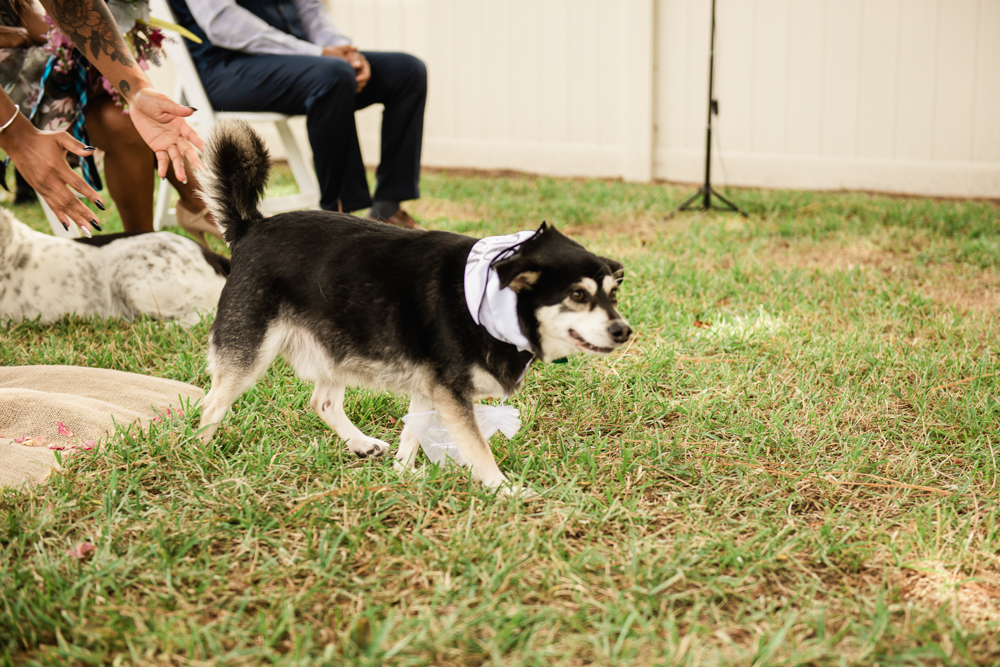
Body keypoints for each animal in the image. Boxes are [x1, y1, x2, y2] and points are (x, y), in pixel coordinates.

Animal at [196, 121, 632, 496]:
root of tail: (251, 227)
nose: (624, 331)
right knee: (211, 404)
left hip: (336, 342)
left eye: (613, 294)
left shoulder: (430, 386)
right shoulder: (451, 393)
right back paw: (197, 453)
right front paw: (503, 489)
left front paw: (403, 474)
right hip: (250, 353)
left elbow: (412, 432)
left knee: (322, 402)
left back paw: (361, 444)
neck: (489, 303)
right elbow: (477, 448)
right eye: (578, 295)